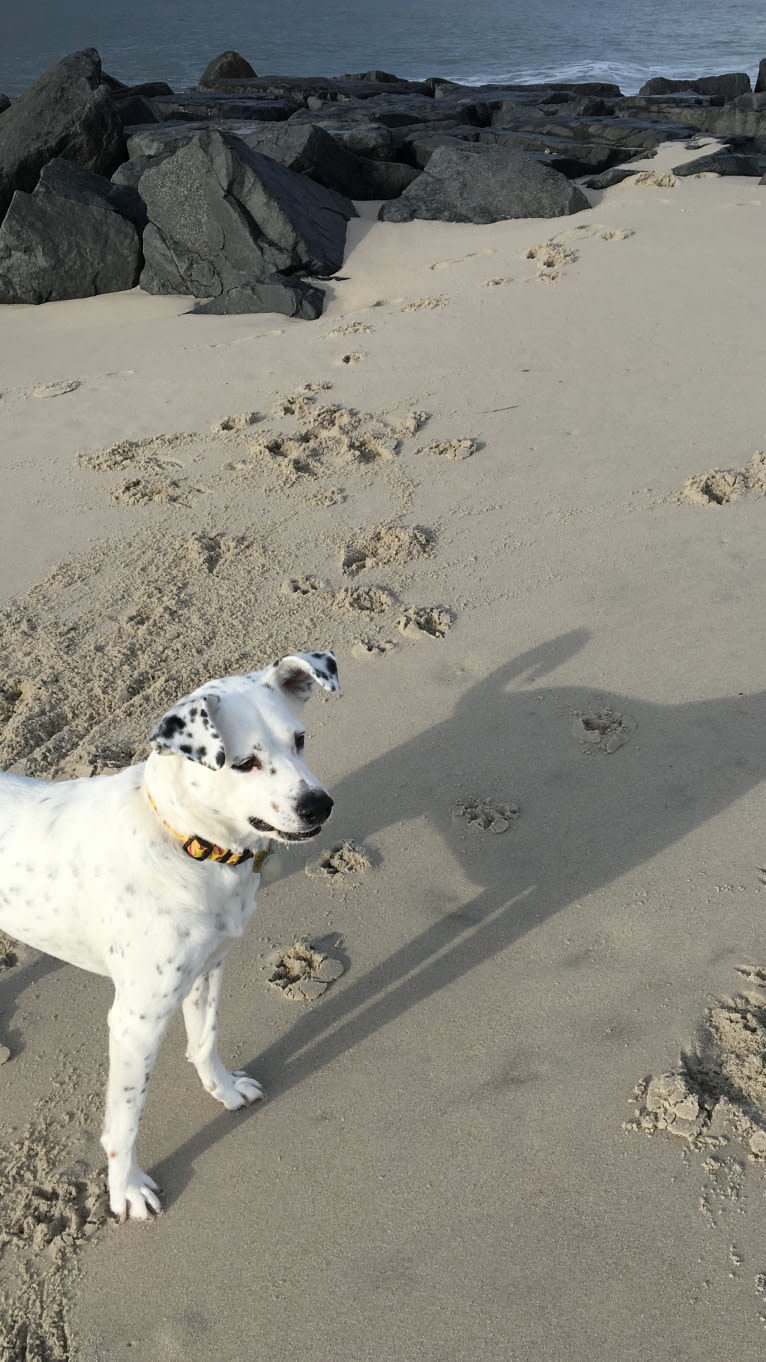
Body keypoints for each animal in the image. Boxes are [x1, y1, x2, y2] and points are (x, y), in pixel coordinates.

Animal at [0, 648, 336, 1225]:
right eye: (243, 763)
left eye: (300, 739)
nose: (319, 805)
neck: (187, 843)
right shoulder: (135, 1022)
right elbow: (125, 1121)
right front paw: (126, 1190)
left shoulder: (208, 969)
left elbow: (204, 1040)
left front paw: (224, 1090)